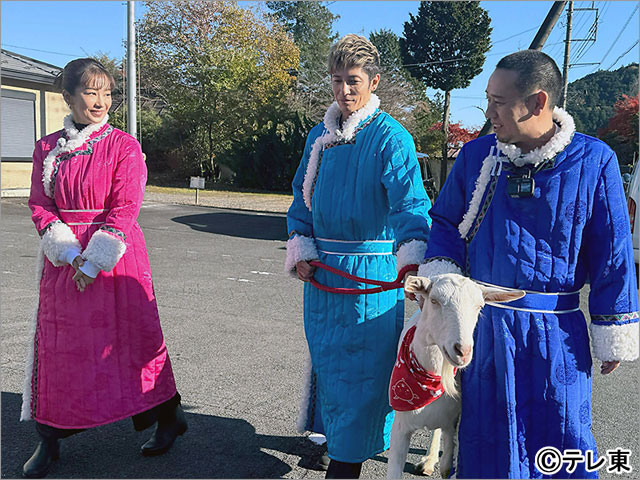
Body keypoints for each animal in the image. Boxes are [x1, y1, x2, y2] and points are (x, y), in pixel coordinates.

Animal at [384, 276, 524, 478]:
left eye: (479, 306)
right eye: (434, 300)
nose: (463, 351)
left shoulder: (453, 425)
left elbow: (446, 468)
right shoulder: (400, 428)